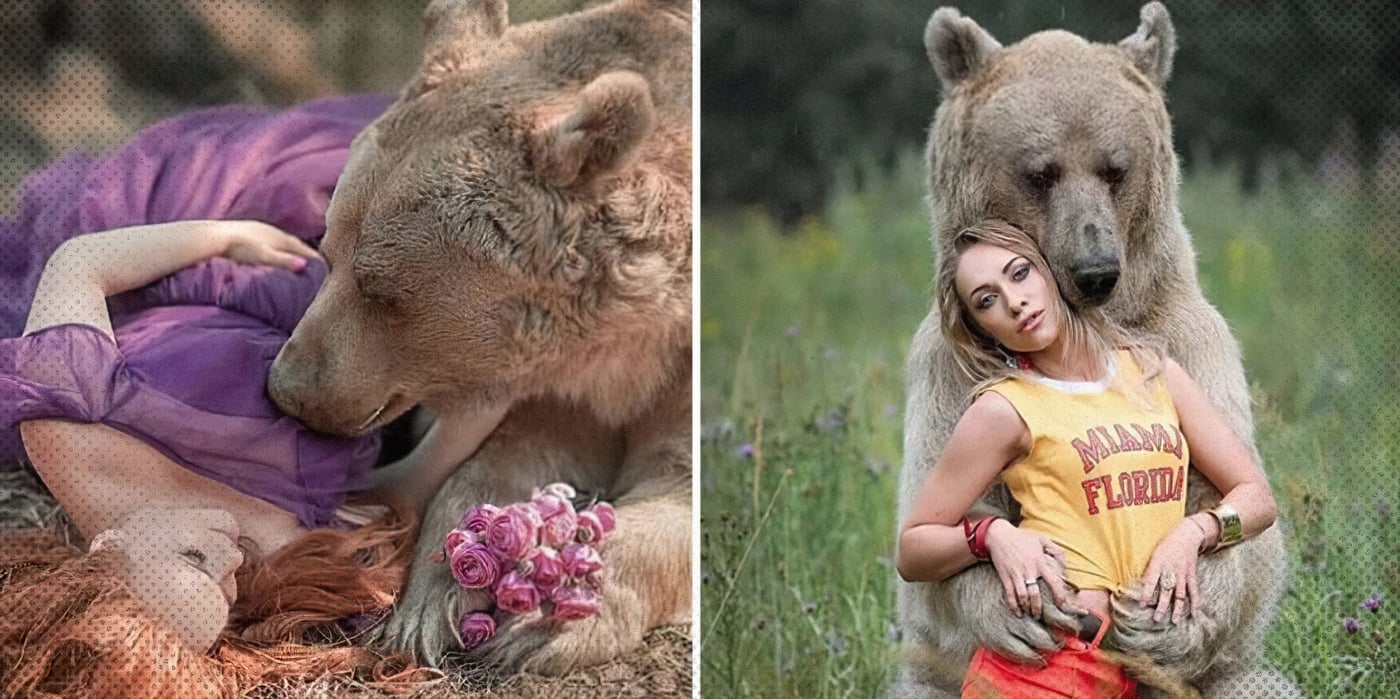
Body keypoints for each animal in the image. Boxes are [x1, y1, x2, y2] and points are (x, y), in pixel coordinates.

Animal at [265, 0, 692, 674]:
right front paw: (435, 599)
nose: (288, 389)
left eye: (382, 289)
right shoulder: (566, 383)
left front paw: (546, 620)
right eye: (327, 251)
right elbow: (514, 455)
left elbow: (678, 485)